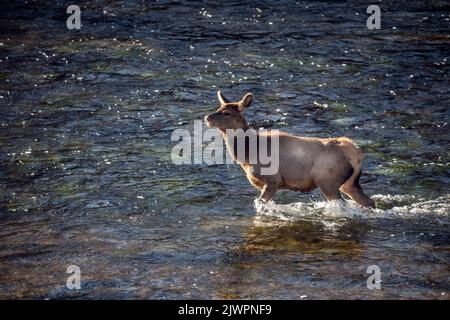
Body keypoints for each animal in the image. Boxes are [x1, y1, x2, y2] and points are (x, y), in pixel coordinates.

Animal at [206, 91, 374, 209]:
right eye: (219, 108)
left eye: (226, 113)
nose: (207, 117)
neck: (247, 154)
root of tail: (357, 154)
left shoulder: (273, 180)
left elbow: (260, 203)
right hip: (349, 183)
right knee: (368, 202)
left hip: (327, 180)